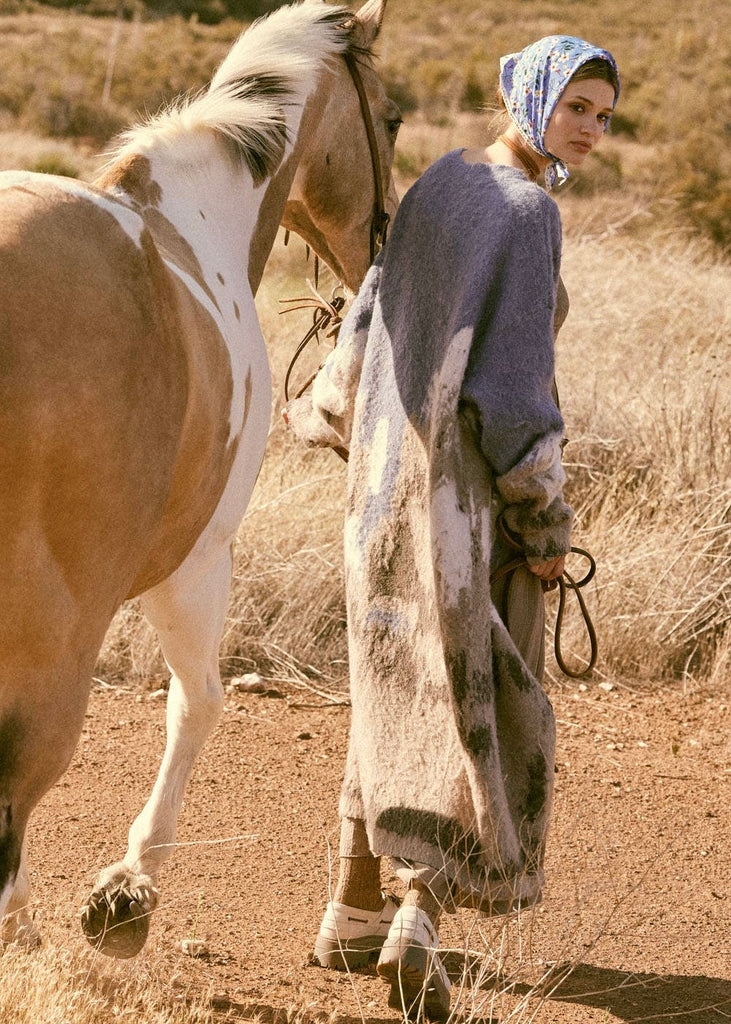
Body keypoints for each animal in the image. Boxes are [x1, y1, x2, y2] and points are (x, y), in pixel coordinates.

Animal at [0, 0, 400, 958]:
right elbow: (199, 705)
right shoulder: (195, 564)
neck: (196, 219)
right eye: (395, 117)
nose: (383, 239)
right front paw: (129, 888)